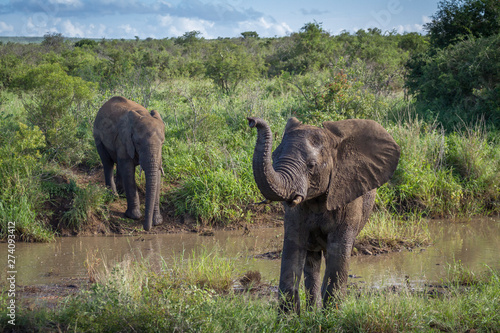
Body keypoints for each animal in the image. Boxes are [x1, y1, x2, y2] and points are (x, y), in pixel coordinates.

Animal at [93, 96, 165, 231]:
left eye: (162, 142)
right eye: (138, 143)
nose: (146, 228)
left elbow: (156, 176)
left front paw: (158, 222)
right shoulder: (123, 139)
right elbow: (128, 171)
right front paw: (134, 216)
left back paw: (121, 192)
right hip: (97, 135)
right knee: (107, 163)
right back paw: (113, 195)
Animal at [248, 116, 400, 312]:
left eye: (311, 166)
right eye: (274, 157)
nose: (252, 120)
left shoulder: (346, 195)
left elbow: (339, 249)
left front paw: (332, 315)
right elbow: (293, 245)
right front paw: (289, 317)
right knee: (311, 260)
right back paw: (313, 311)